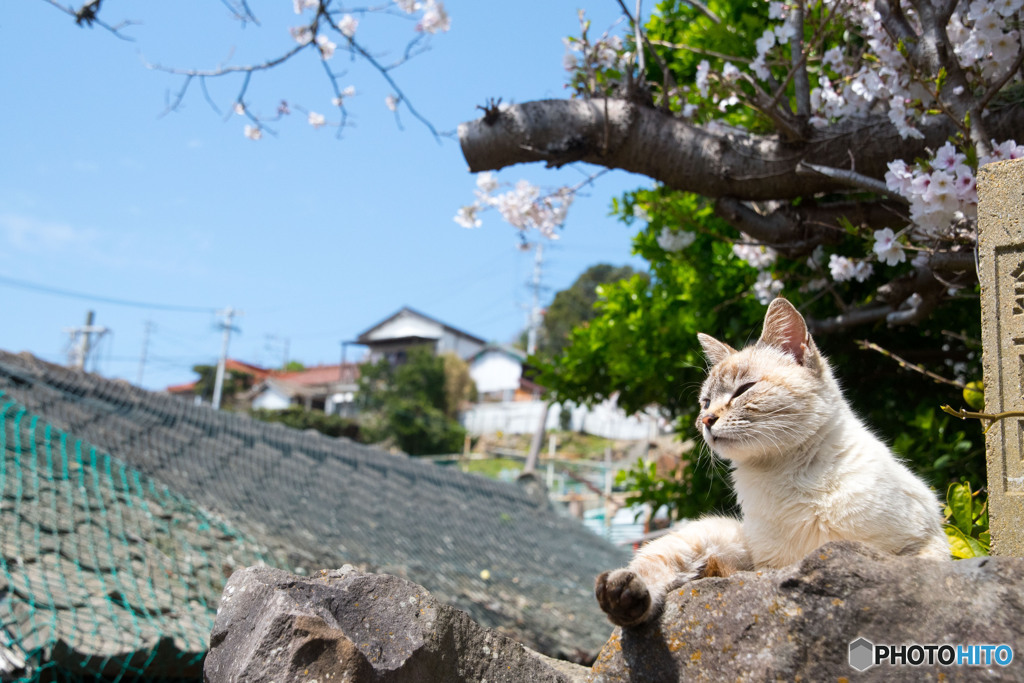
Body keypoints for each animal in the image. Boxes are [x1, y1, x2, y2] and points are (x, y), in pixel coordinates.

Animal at [598, 296, 946, 626]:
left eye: (743, 390)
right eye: (706, 402)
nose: (706, 420)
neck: (788, 472)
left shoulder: (921, 545)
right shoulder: (770, 564)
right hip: (709, 537)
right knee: (652, 572)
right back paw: (624, 595)